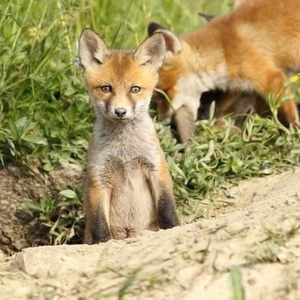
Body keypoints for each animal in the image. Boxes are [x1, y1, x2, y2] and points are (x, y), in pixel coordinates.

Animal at [149, 0, 300, 148]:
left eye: (163, 94)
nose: (161, 122)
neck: (223, 51)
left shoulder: (271, 76)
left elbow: (291, 119)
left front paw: (294, 136)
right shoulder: (240, 89)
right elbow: (225, 114)